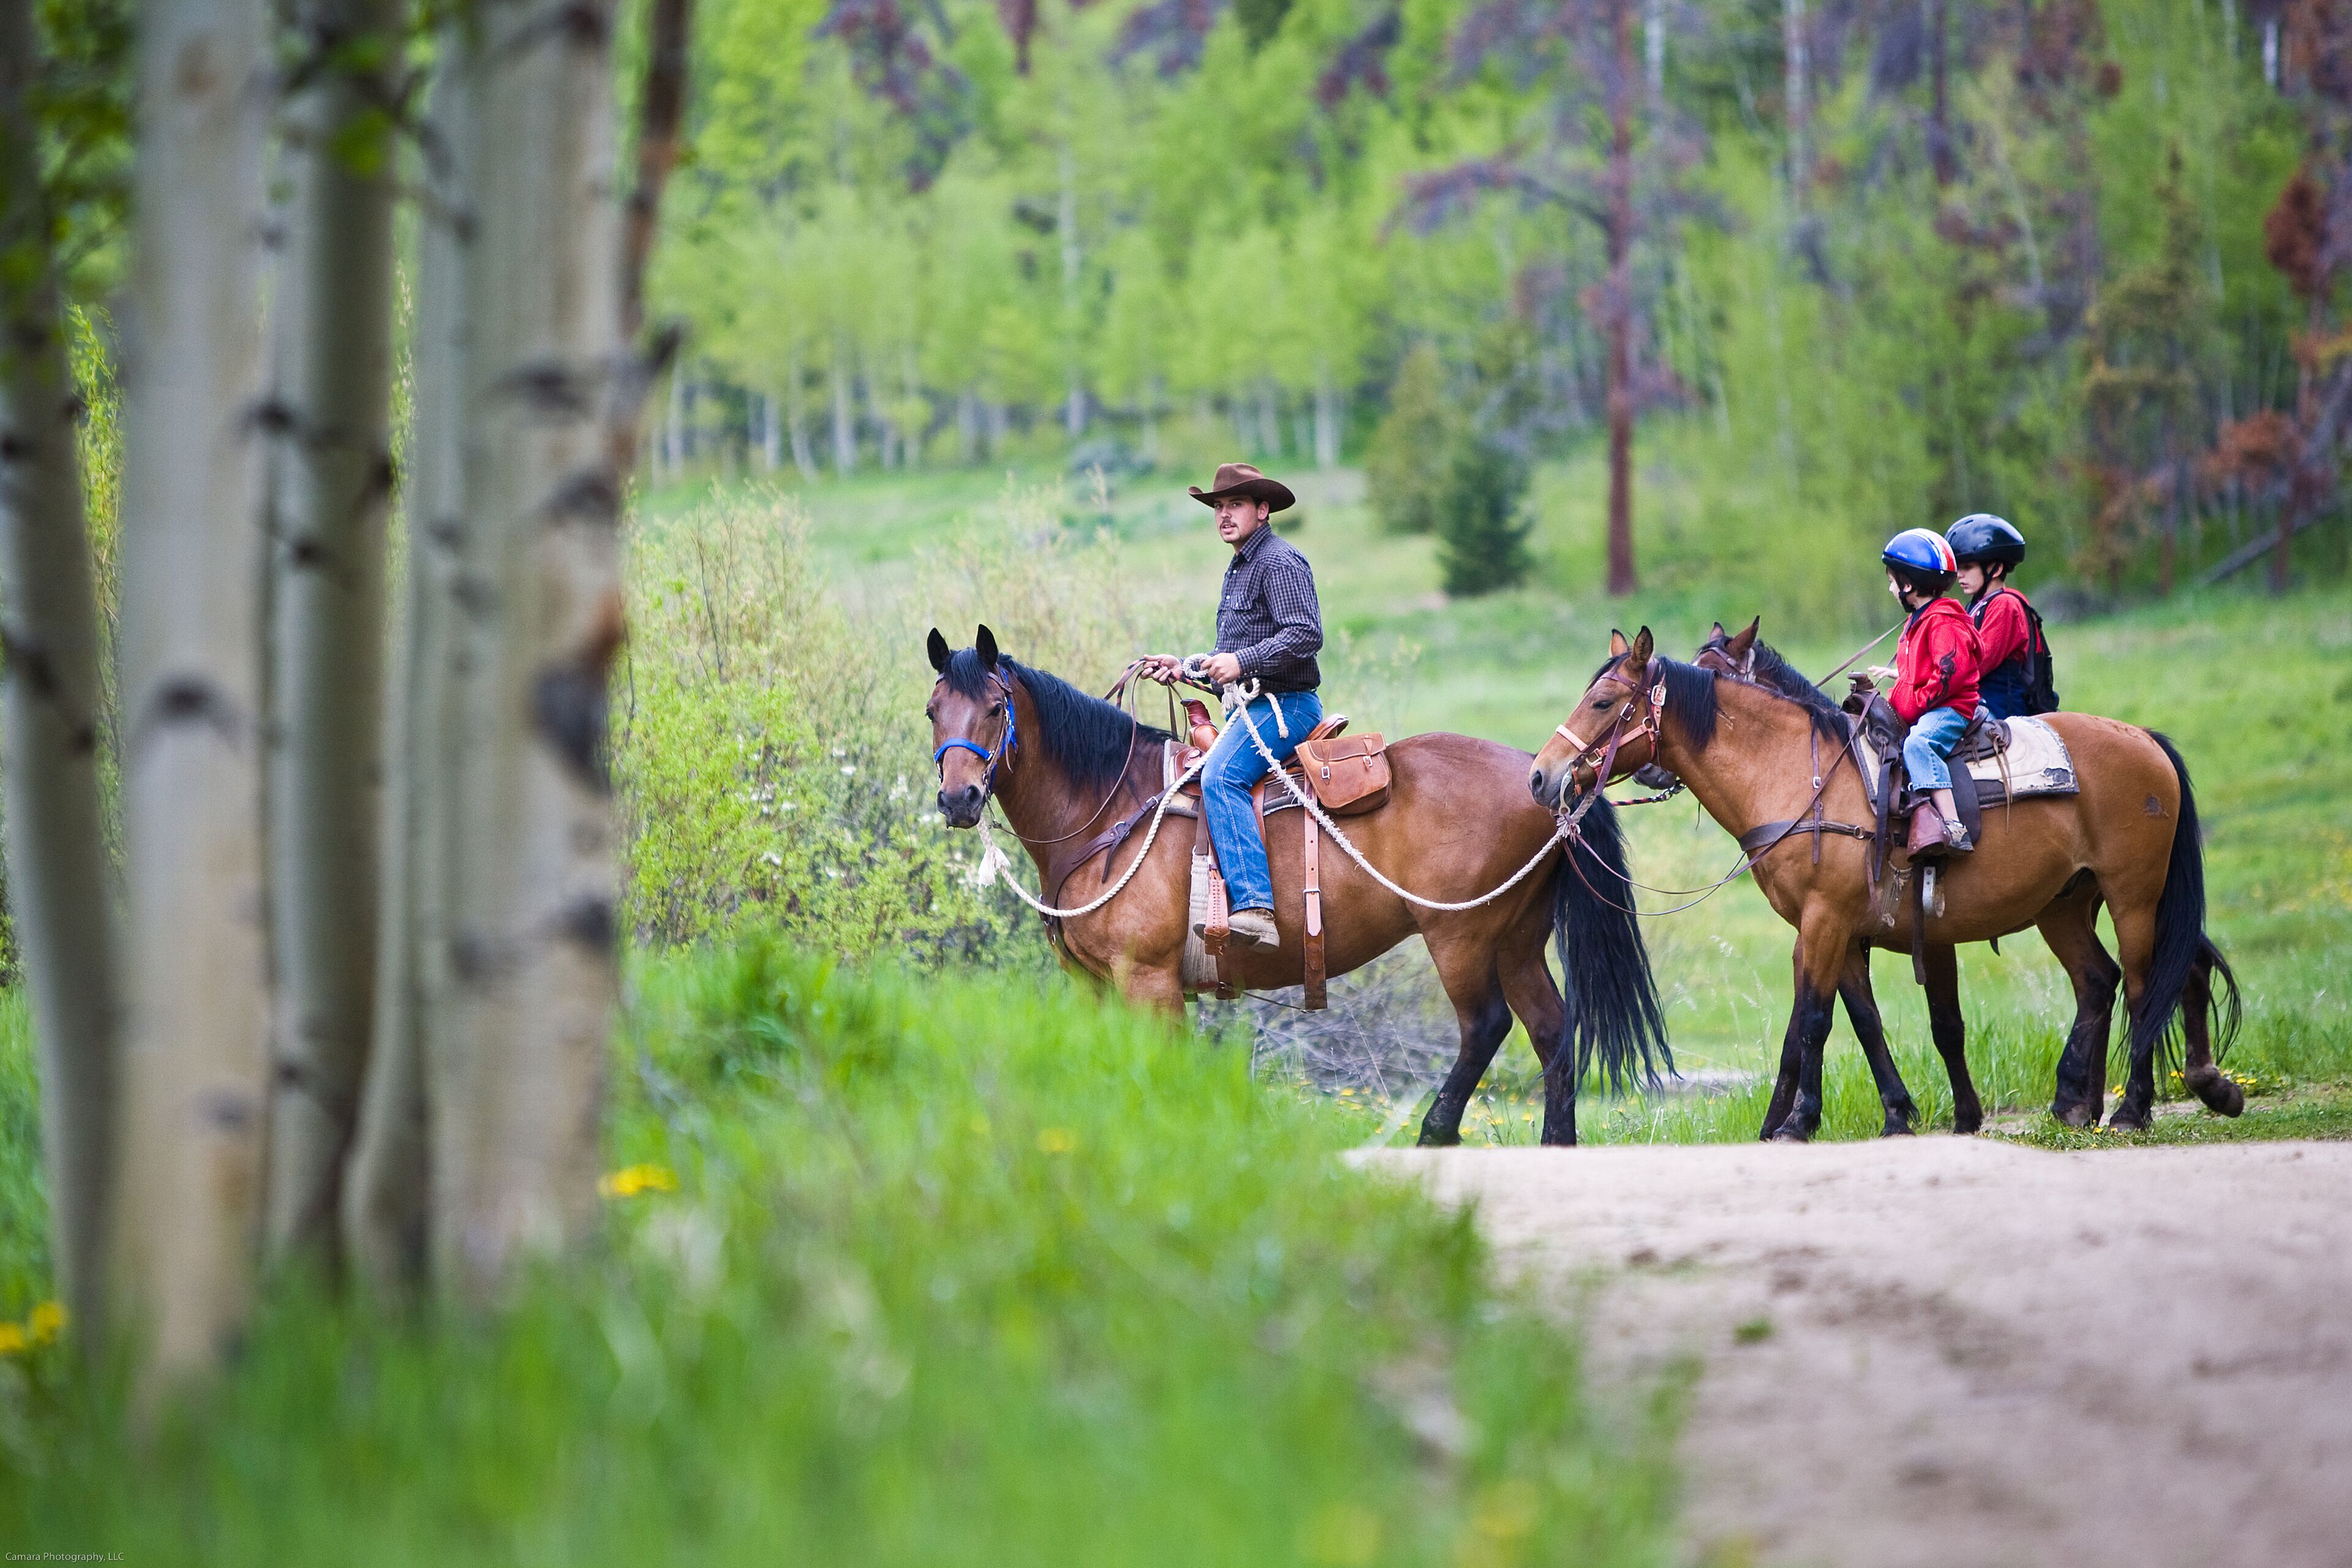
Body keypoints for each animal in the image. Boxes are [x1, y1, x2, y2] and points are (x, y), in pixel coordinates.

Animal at [925, 625, 1668, 1146]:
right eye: (934, 708)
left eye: (994, 707)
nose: (959, 799)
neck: (1111, 808)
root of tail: (1545, 776)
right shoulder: (1094, 985)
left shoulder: (1150, 981)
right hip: (1516, 939)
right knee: (1551, 1030)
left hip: (1460, 933)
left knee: (1486, 1025)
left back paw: (1434, 1132)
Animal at [1528, 625, 2241, 1140]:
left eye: (1603, 702)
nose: (1541, 775)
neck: (1801, 777)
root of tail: (2143, 740)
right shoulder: (1838, 930)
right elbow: (1861, 1021)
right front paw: (1895, 1113)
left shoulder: (1827, 922)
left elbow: (1815, 1023)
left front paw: (1795, 1123)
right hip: (2065, 906)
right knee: (2103, 979)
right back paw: (2089, 1100)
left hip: (2134, 896)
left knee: (2148, 986)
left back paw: (2131, 1110)